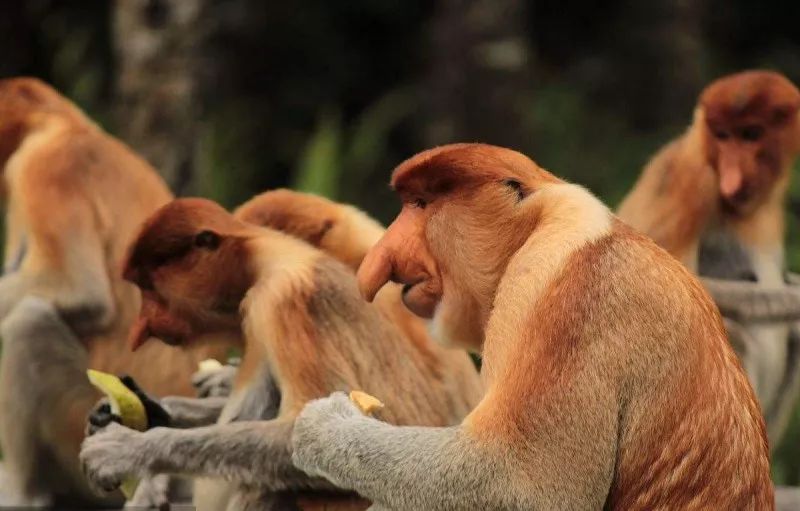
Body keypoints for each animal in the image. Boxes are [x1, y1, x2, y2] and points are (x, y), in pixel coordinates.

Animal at [0, 77, 231, 508]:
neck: (68, 125)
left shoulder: (44, 169)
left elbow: (80, 290)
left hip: (71, 423)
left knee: (29, 322)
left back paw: (26, 491)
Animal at [79, 199, 482, 511]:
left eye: (150, 288)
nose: (140, 326)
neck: (270, 256)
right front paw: (136, 410)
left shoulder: (283, 299)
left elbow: (308, 426)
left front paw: (125, 449)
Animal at [286, 144, 768, 511]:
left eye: (422, 205)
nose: (377, 261)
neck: (542, 221)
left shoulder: (556, 292)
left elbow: (521, 485)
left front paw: (322, 427)